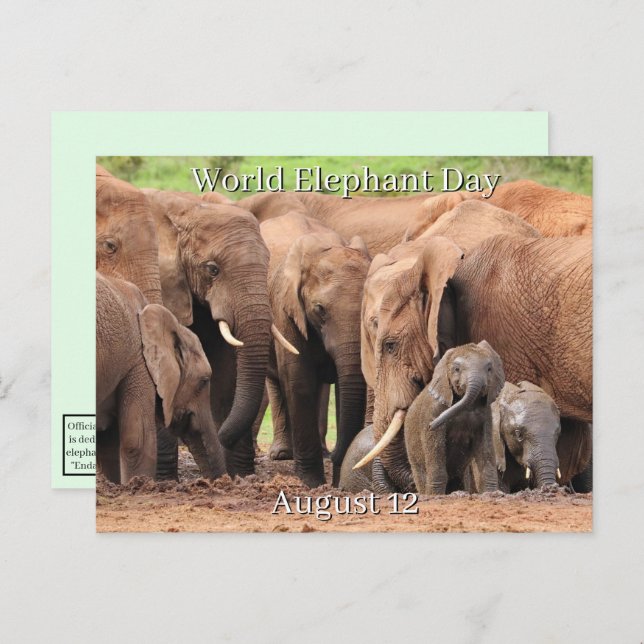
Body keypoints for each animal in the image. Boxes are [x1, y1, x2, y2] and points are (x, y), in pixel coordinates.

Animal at [143, 190, 275, 478]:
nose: (222, 434)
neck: (188, 209)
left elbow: (225, 373)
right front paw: (163, 482)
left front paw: (237, 476)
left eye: (268, 266)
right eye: (212, 269)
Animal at [261, 212, 371, 487]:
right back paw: (282, 454)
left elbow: (346, 388)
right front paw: (311, 483)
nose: (337, 455)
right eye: (320, 309)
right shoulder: (285, 310)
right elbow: (299, 381)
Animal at [402, 341, 504, 495]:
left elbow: (485, 448)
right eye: (456, 369)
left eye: (489, 369)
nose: (431, 425)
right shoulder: (433, 410)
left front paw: (491, 493)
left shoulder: (486, 414)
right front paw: (435, 495)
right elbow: (436, 447)